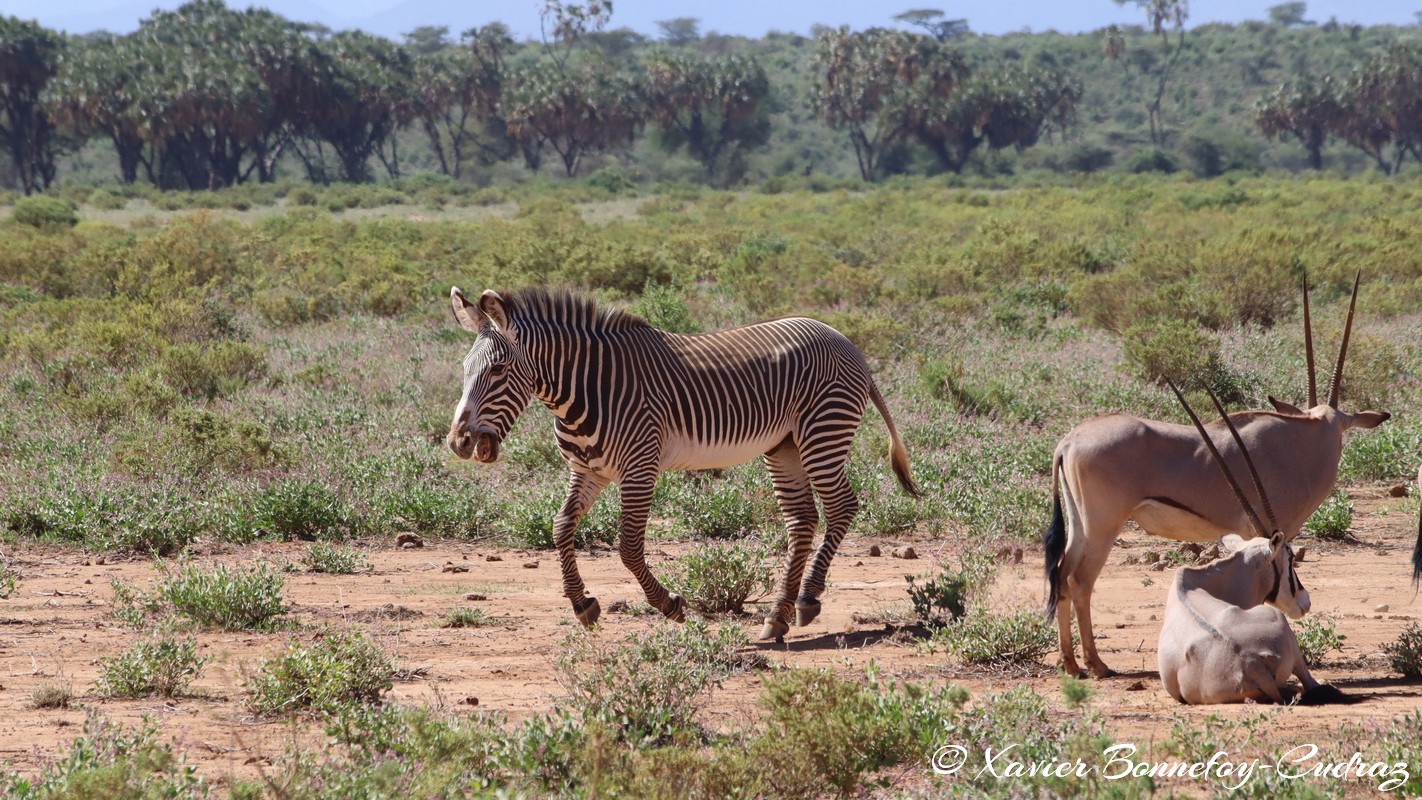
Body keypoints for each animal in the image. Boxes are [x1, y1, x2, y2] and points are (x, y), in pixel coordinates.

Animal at [449, 284, 927, 642]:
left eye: (498, 371)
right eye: (465, 369)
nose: (458, 442)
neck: (584, 392)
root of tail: (844, 339)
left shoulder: (640, 467)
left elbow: (628, 546)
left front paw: (671, 606)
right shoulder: (587, 470)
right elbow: (561, 527)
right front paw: (583, 604)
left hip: (822, 433)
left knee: (841, 506)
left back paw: (807, 599)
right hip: (785, 445)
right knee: (803, 520)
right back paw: (777, 616)